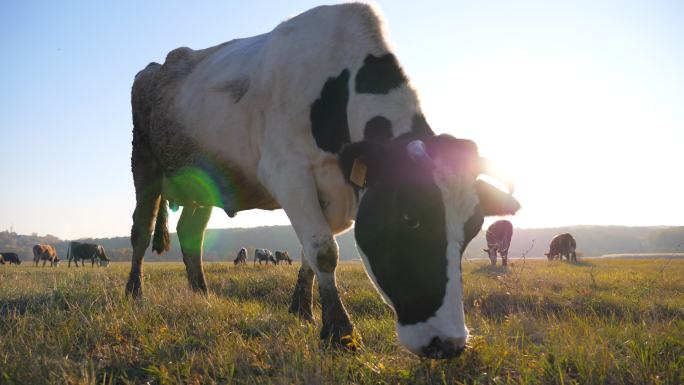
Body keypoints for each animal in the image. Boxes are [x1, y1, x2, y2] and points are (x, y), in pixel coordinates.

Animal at [124, 3, 520, 356]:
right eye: (411, 218)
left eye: (472, 229)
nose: (449, 344)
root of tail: (157, 66)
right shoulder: (287, 172)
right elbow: (323, 250)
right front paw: (340, 332)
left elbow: (308, 253)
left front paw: (302, 310)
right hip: (144, 163)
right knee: (141, 230)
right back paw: (134, 292)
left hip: (204, 182)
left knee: (192, 234)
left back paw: (200, 293)